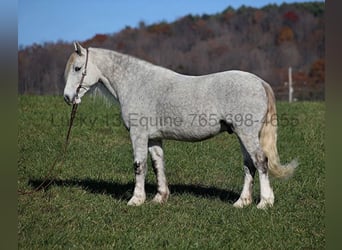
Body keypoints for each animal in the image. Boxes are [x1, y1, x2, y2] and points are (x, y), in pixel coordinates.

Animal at [63, 43, 296, 209]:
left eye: (77, 68)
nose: (67, 97)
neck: (137, 83)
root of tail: (259, 82)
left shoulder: (138, 135)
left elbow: (139, 165)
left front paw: (136, 200)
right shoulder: (154, 138)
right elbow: (157, 164)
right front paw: (160, 197)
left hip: (247, 134)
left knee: (261, 161)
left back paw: (264, 203)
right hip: (242, 135)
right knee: (249, 165)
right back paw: (241, 202)